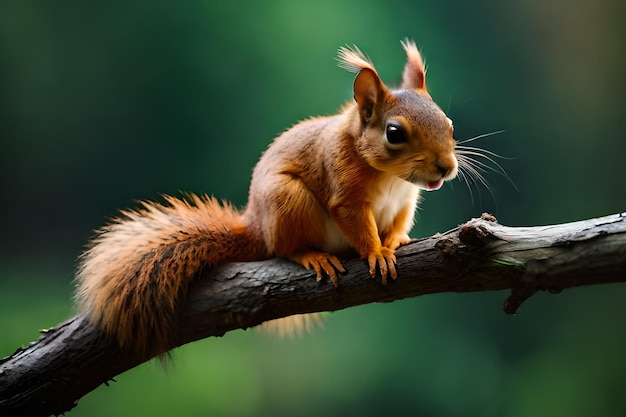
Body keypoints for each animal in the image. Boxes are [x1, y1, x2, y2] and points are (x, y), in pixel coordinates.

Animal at [75, 39, 456, 358]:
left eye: (449, 123)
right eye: (394, 133)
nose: (447, 167)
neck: (392, 180)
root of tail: (257, 226)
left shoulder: (405, 201)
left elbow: (400, 222)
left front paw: (394, 241)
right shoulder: (344, 192)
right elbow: (357, 224)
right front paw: (376, 252)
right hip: (288, 200)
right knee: (286, 248)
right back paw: (313, 256)